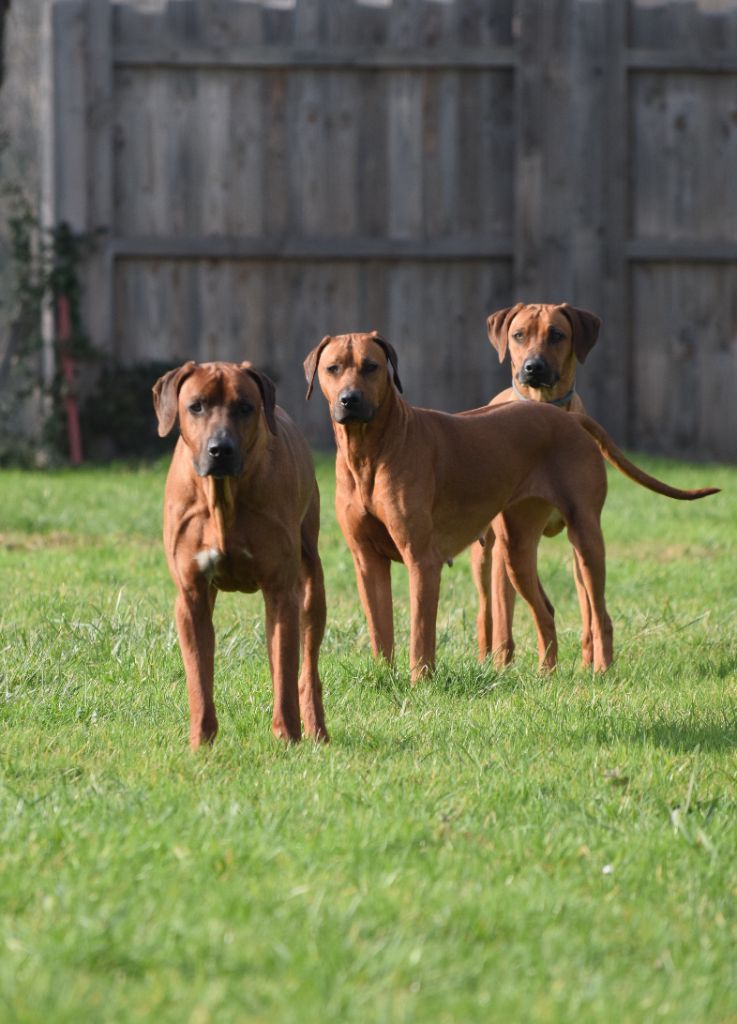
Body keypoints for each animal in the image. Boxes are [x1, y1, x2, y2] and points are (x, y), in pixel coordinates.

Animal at [153, 364, 327, 749]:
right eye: (196, 406)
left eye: (245, 407)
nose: (220, 449)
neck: (222, 497)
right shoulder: (191, 595)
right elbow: (198, 677)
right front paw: (201, 741)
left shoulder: (281, 591)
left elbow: (285, 673)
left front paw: (288, 737)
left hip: (311, 585)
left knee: (305, 667)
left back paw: (316, 728)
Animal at [468, 301, 601, 671]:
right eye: (518, 335)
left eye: (557, 335)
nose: (533, 367)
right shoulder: (504, 546)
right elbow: (503, 615)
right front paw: (502, 664)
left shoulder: (579, 532)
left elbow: (588, 608)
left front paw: (589, 662)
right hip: (486, 552)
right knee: (488, 609)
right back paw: (487, 658)